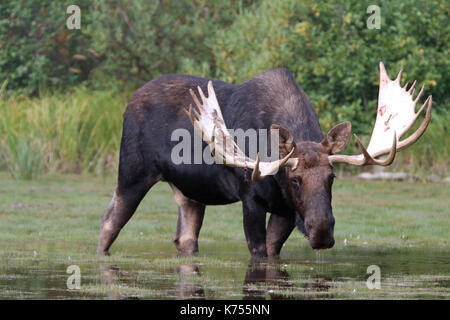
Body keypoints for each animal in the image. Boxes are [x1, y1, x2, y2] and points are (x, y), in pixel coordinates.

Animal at [97, 62, 432, 258]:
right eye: (295, 179)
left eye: (332, 177)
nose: (322, 230)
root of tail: (129, 101)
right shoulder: (251, 199)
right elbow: (257, 253)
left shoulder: (285, 210)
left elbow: (273, 253)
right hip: (132, 174)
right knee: (108, 222)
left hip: (189, 193)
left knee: (184, 238)